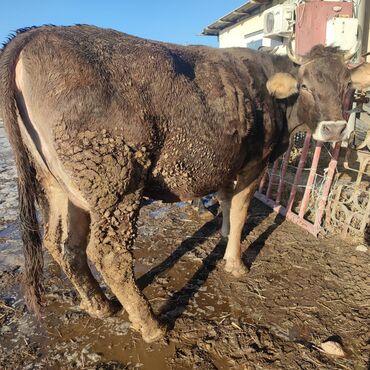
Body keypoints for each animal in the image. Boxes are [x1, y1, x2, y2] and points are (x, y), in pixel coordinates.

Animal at [0, 26, 370, 342]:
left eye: (348, 88)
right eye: (305, 86)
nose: (335, 129)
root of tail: (36, 33)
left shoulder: (229, 161)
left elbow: (226, 202)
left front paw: (222, 235)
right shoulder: (255, 163)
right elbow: (240, 211)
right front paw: (236, 263)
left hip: (59, 183)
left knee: (62, 243)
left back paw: (99, 305)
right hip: (113, 178)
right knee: (108, 253)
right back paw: (151, 325)